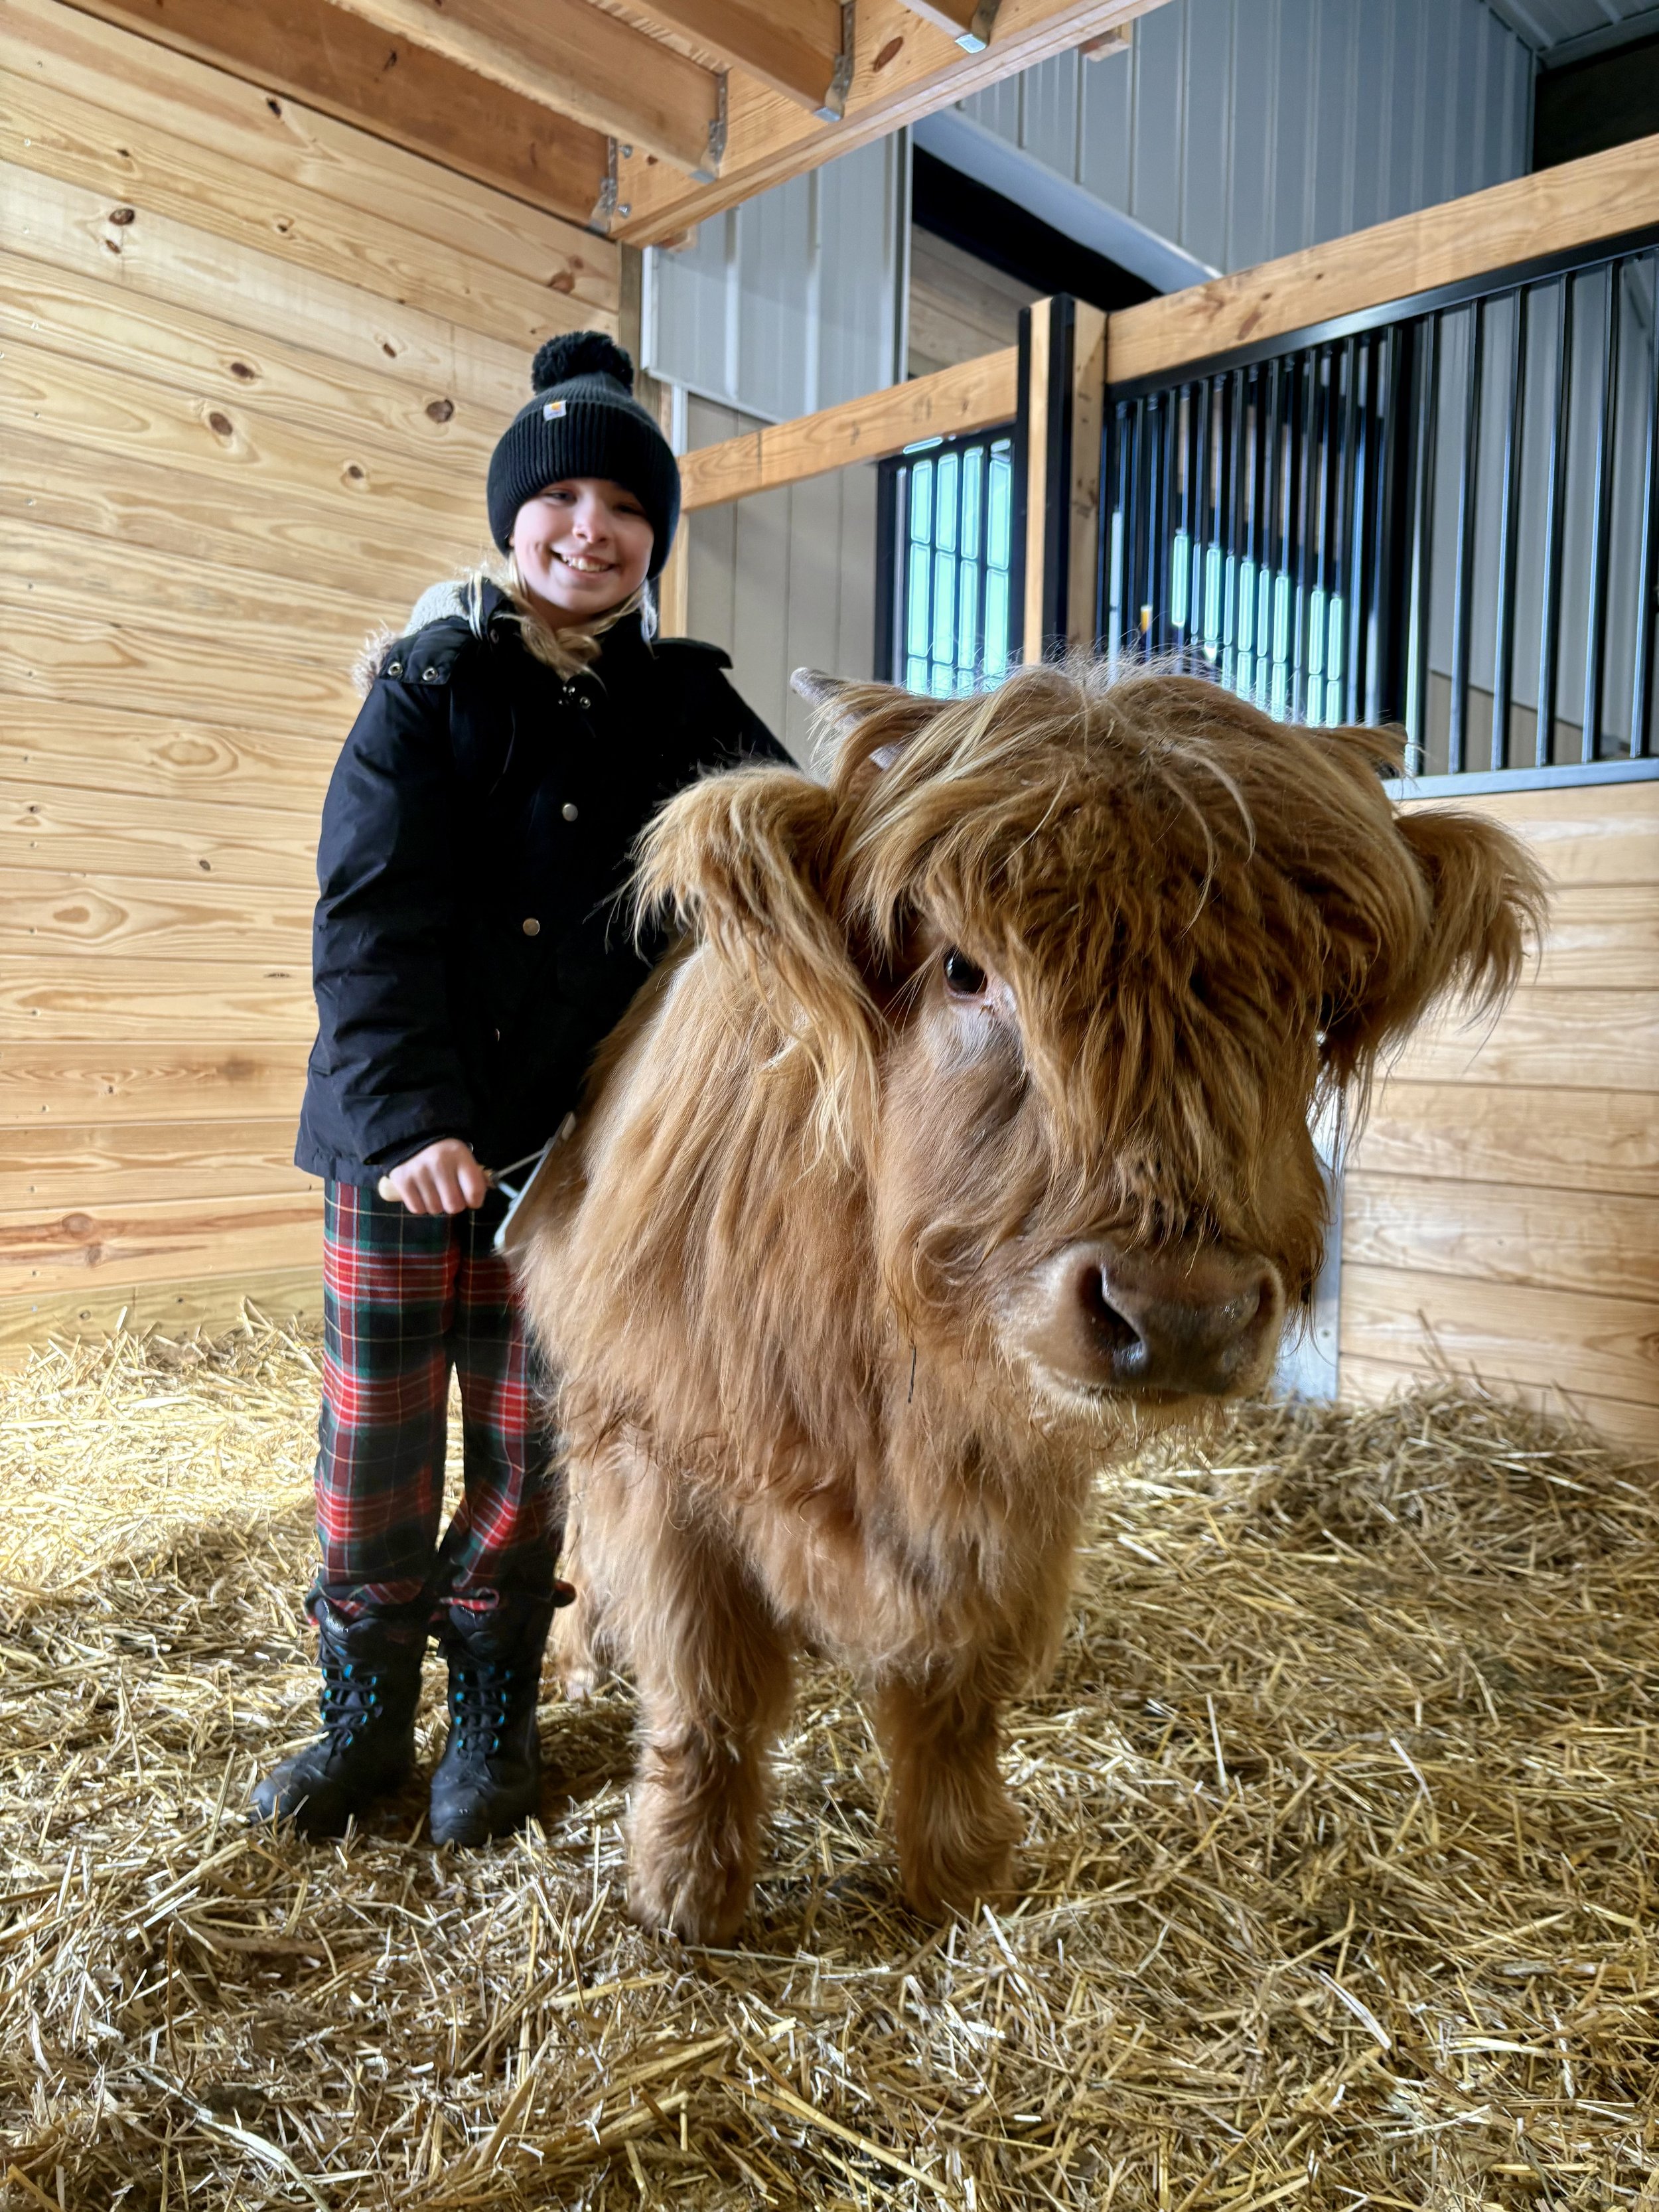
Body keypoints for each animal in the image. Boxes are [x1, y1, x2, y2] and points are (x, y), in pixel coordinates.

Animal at [510, 662, 1544, 1945]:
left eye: (1310, 1004)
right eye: (964, 968)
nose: (1182, 1311)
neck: (893, 1388)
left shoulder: (1008, 1497)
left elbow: (958, 1689)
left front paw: (960, 1873)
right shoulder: (663, 1449)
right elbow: (710, 1691)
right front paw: (686, 1890)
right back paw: (580, 1657)